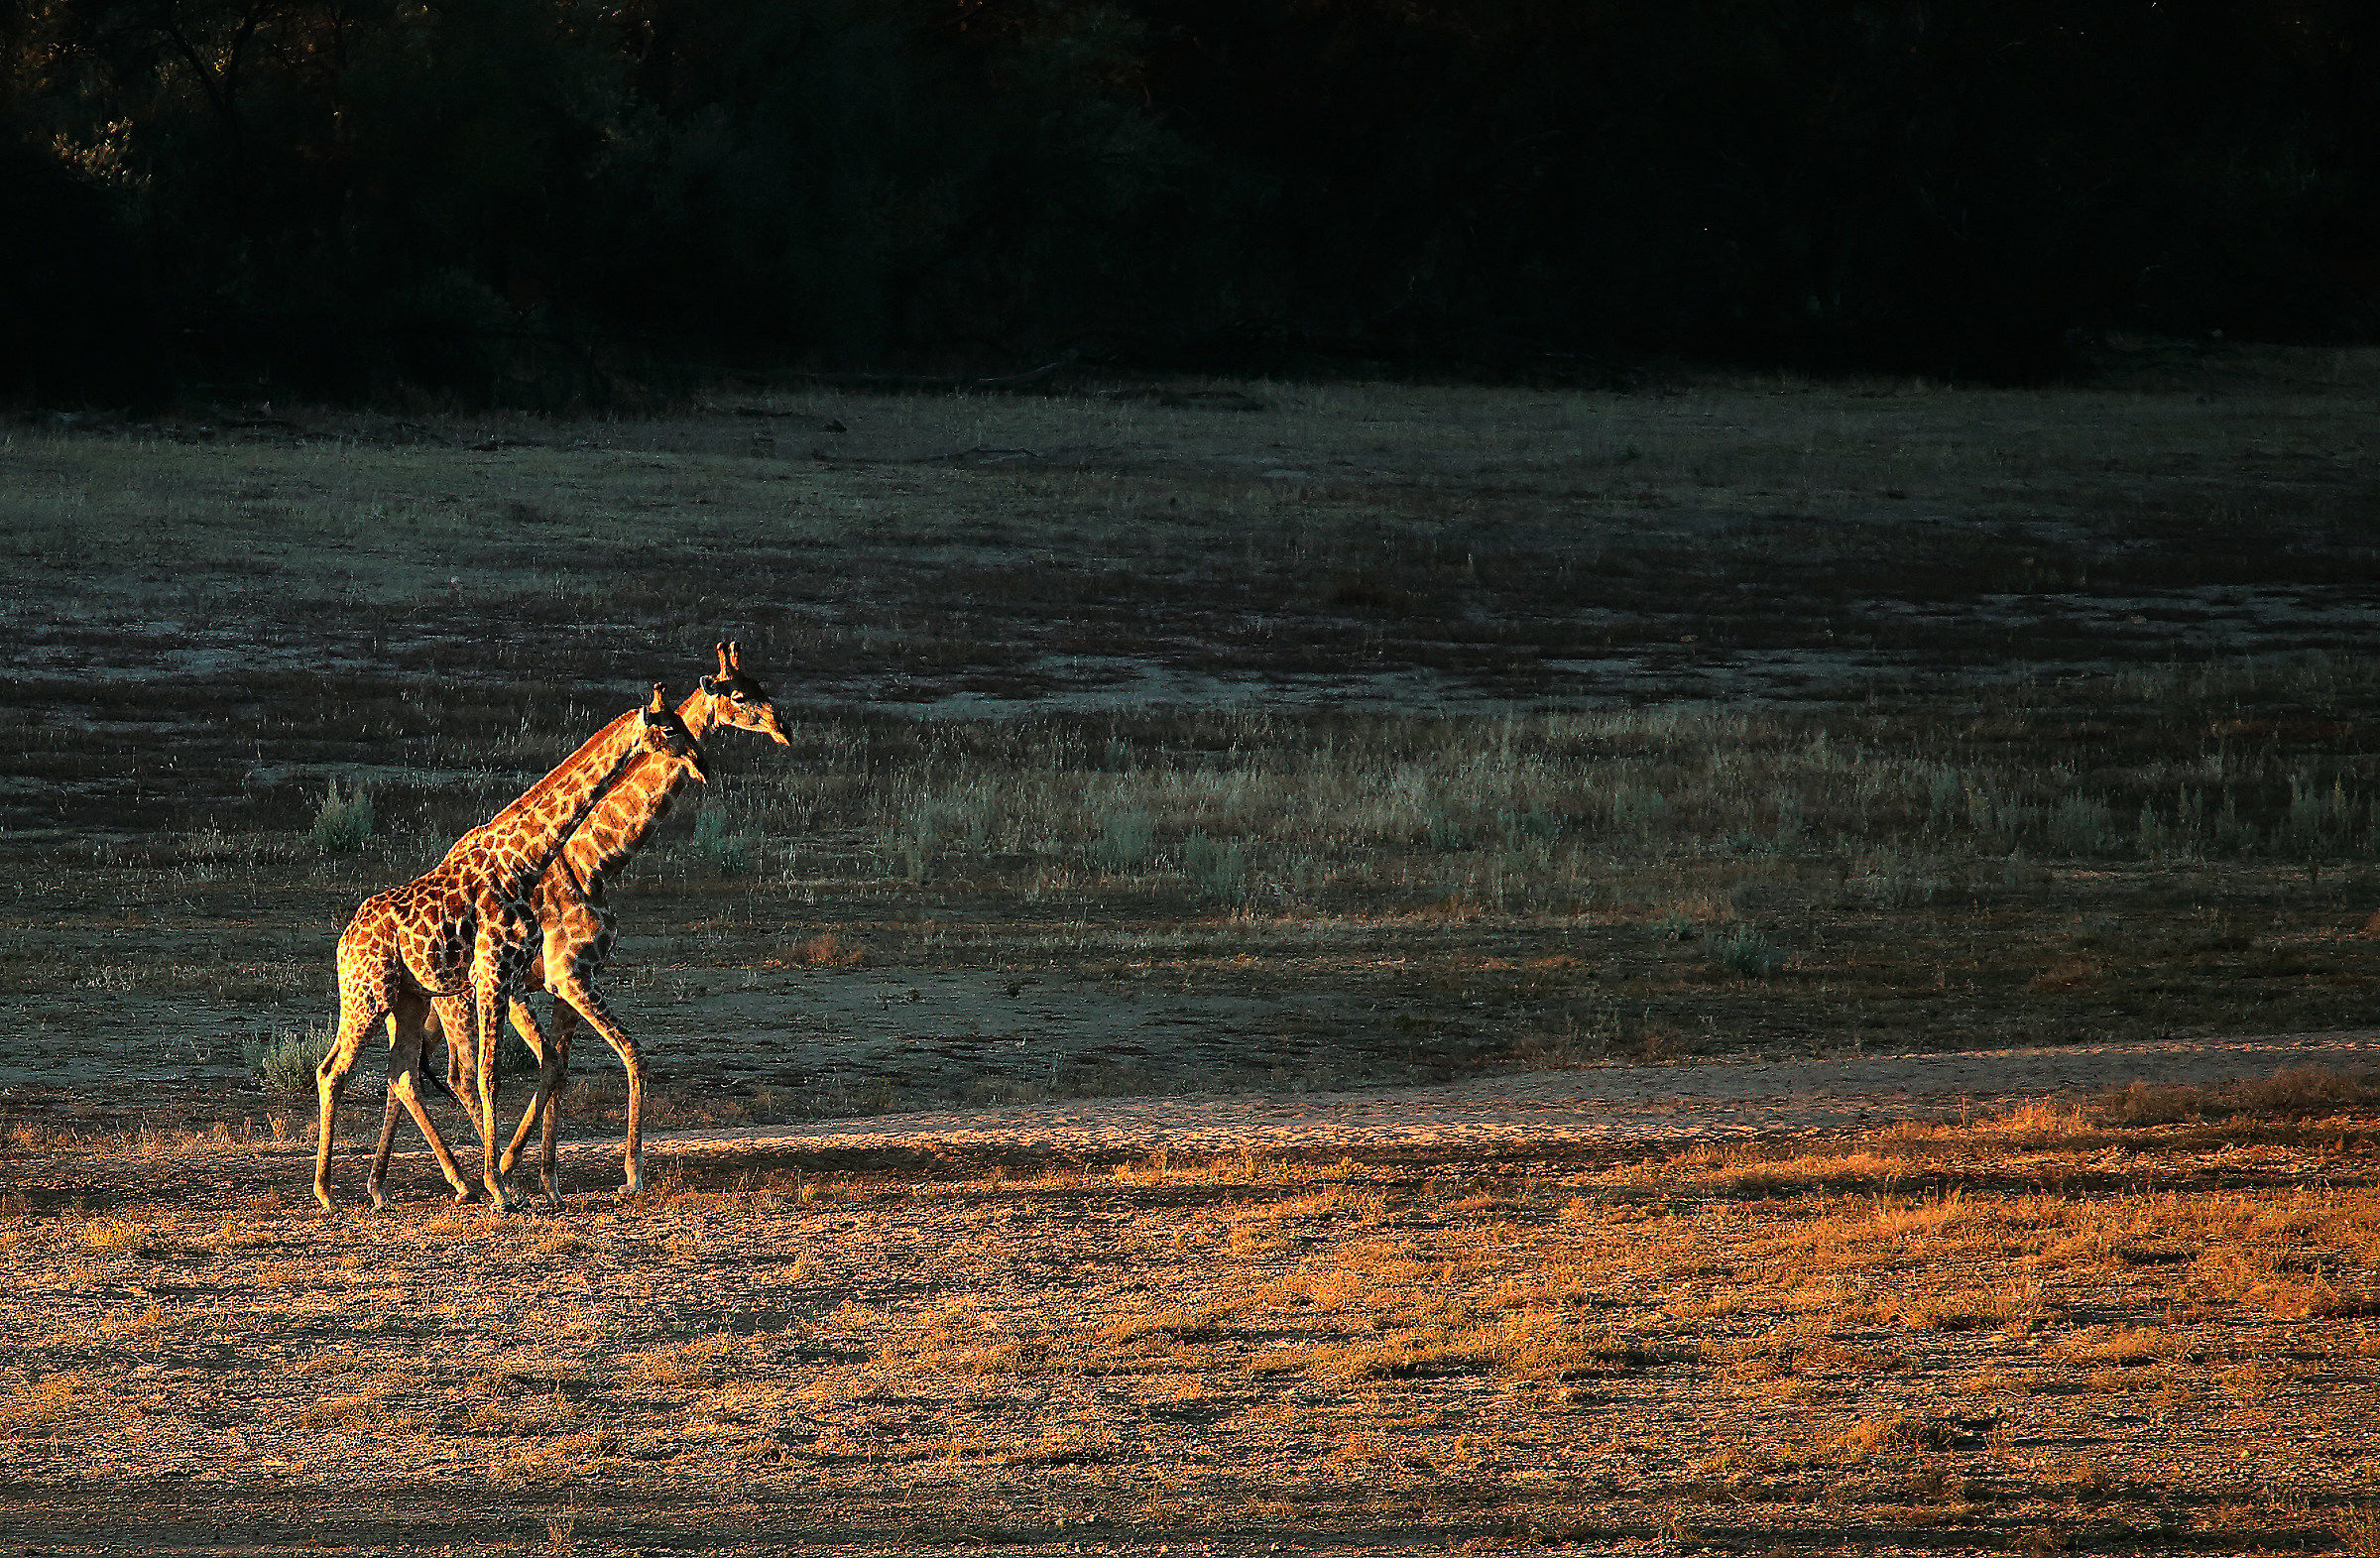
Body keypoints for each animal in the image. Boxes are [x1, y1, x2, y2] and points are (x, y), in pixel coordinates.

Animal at [314, 686, 708, 1213]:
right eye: (668, 727)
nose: (701, 761)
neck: (525, 860)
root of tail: (344, 941)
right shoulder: (495, 974)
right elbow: (489, 1076)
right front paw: (500, 1187)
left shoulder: (517, 977)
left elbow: (533, 1069)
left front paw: (509, 1180)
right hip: (368, 996)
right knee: (332, 1071)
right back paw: (327, 1193)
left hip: (410, 999)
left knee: (401, 1073)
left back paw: (404, 1187)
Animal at [486, 640, 790, 1203]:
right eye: (740, 696)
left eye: (762, 685)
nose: (783, 727)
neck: (596, 863)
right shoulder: (568, 976)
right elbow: (633, 1056)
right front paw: (631, 1174)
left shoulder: (571, 980)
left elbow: (560, 1068)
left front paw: (548, 1180)